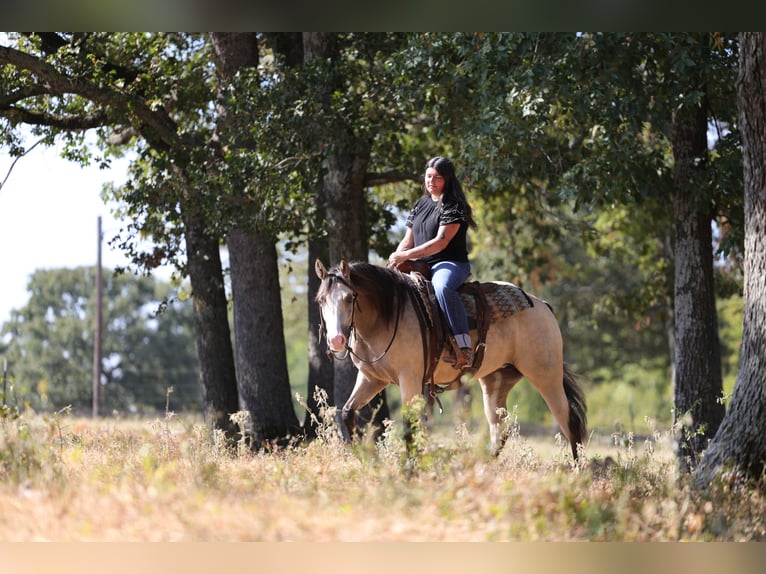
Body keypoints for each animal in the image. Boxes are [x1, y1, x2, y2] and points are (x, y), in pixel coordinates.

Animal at [315, 258, 587, 459]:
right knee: (498, 429)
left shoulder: (409, 378)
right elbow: (347, 412)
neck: (387, 314)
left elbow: (410, 426)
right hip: (496, 381)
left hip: (545, 375)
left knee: (567, 419)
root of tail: (542, 305)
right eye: (321, 299)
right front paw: (364, 457)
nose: (336, 340)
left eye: (350, 297)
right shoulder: (372, 378)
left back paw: (576, 471)